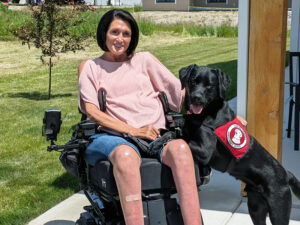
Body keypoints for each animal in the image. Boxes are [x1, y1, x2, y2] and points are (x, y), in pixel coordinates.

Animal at [179, 64, 300, 225]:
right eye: (193, 81)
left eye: (210, 85)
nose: (196, 97)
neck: (206, 114)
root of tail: (286, 174)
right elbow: (180, 132)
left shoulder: (205, 152)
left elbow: (182, 139)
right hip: (255, 208)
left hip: (278, 210)